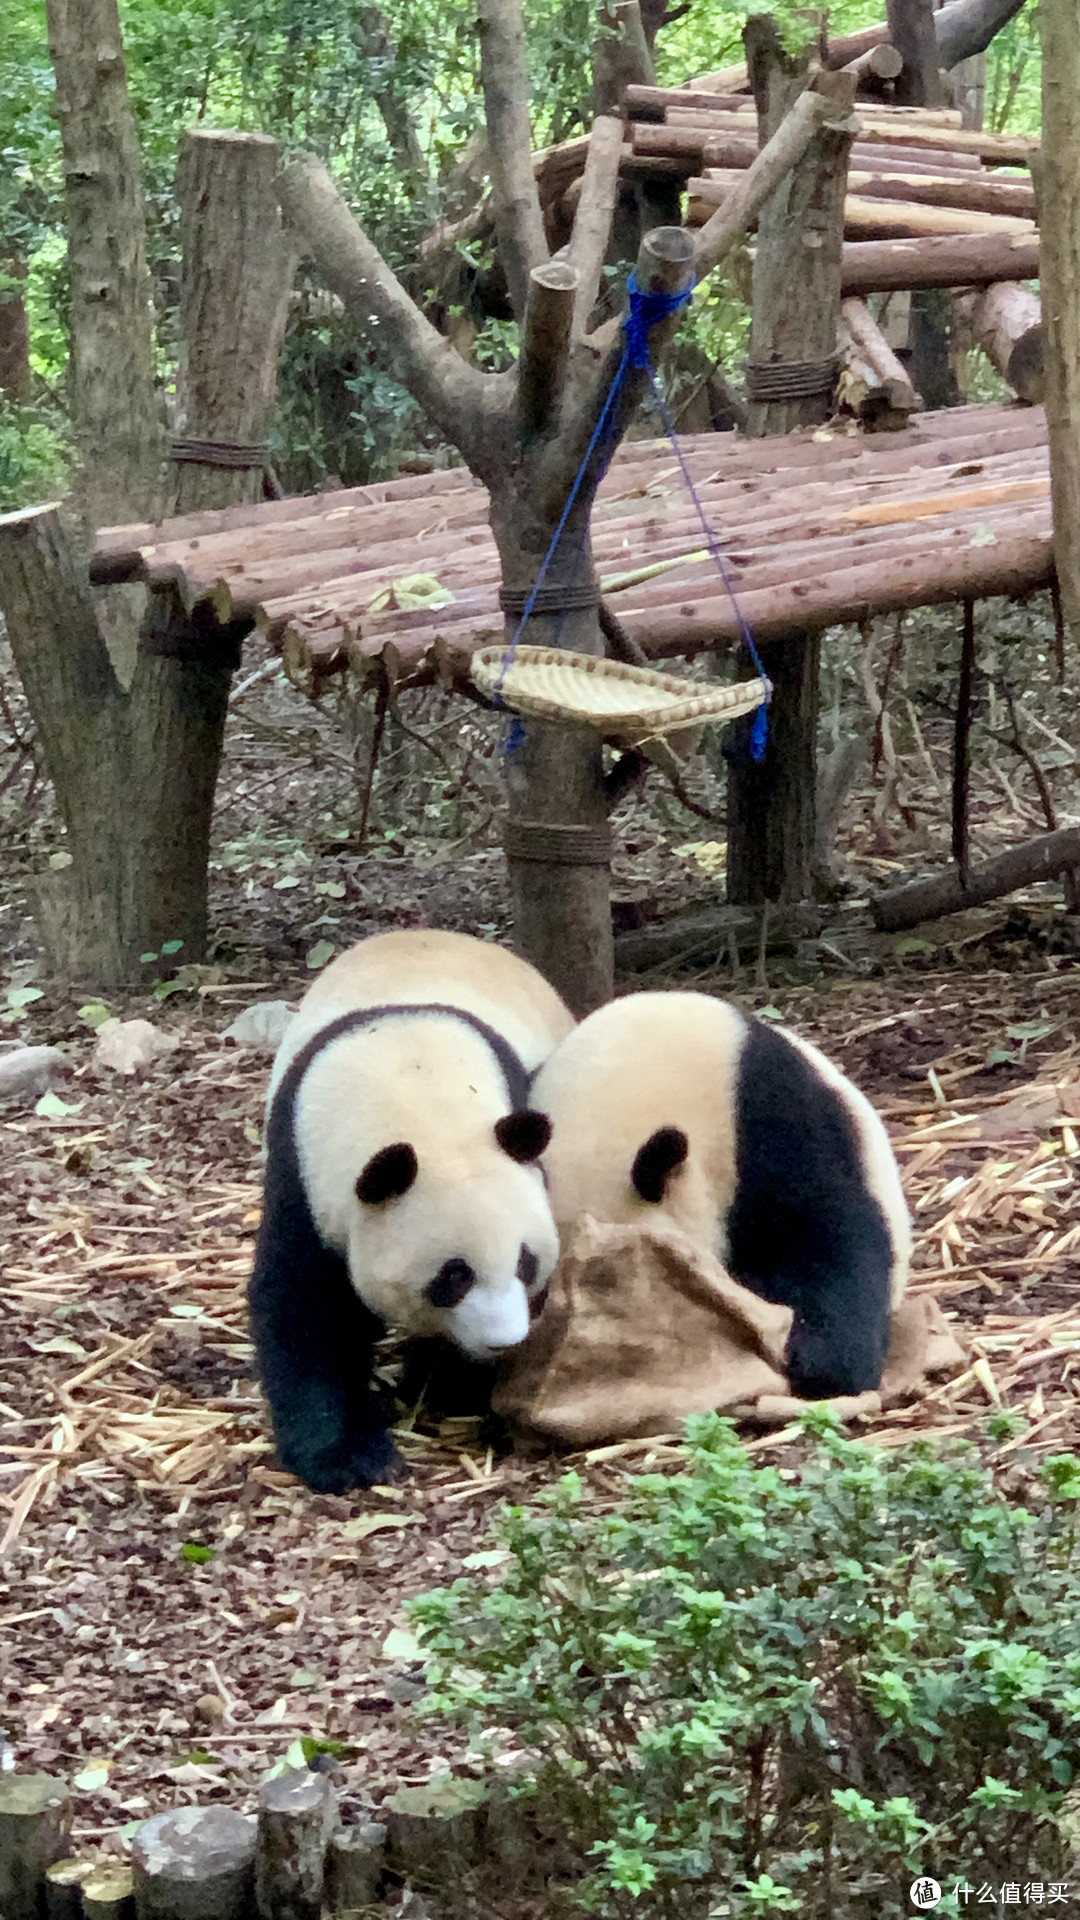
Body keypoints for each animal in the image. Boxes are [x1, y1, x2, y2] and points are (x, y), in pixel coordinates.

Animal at [249, 933, 576, 1497]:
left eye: (525, 1262)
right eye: (453, 1276)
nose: (502, 1342)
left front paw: (459, 1386)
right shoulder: (300, 1170)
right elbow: (303, 1308)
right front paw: (350, 1456)